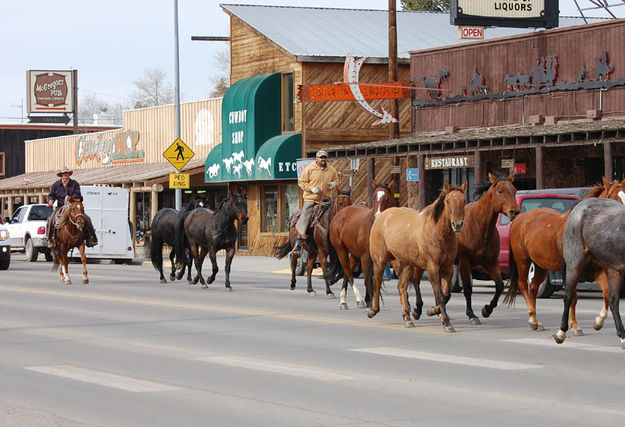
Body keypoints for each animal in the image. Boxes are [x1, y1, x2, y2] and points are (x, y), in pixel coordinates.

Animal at [326, 182, 394, 310]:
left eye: (387, 198)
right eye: (374, 197)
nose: (377, 216)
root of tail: (340, 214)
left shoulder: (379, 258)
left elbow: (374, 279)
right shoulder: (365, 256)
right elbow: (367, 278)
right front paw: (369, 301)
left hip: (354, 254)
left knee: (347, 271)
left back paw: (344, 300)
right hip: (341, 250)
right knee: (347, 271)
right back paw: (357, 299)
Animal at [368, 182, 466, 332]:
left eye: (464, 200)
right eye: (448, 201)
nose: (457, 224)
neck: (437, 232)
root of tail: (381, 216)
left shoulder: (448, 269)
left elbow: (446, 295)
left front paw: (433, 311)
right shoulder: (432, 269)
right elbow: (440, 296)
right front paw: (446, 322)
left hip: (406, 264)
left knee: (402, 286)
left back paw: (407, 317)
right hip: (380, 260)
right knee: (377, 281)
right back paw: (373, 310)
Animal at [442, 173, 520, 324]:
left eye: (514, 191)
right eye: (500, 191)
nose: (515, 211)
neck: (480, 227)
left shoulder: (491, 262)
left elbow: (499, 285)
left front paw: (487, 309)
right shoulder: (464, 262)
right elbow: (467, 289)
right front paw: (471, 314)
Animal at [502, 177, 624, 334]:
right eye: (615, 197)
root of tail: (519, 218)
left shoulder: (596, 268)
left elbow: (606, 292)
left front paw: (598, 321)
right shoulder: (570, 269)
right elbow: (573, 296)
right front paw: (574, 326)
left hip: (540, 266)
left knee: (533, 288)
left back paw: (536, 320)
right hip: (523, 261)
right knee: (523, 285)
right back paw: (532, 320)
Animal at [552, 199, 624, 350]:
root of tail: (580, 204)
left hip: (612, 269)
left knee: (613, 300)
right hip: (575, 264)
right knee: (569, 295)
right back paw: (561, 333)